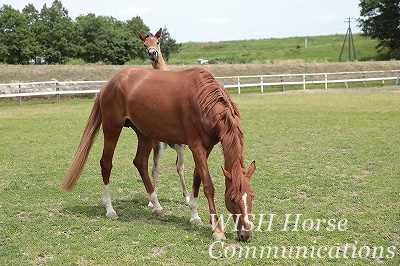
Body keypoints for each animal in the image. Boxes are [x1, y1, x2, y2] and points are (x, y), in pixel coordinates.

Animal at [62, 66, 256, 241]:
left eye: (252, 196)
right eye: (232, 199)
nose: (246, 235)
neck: (204, 100)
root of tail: (109, 83)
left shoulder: (206, 148)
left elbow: (197, 178)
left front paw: (194, 216)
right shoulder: (196, 146)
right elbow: (208, 185)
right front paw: (217, 230)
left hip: (144, 133)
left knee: (140, 162)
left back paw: (156, 206)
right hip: (112, 128)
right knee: (106, 163)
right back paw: (110, 209)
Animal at [138, 28, 190, 205]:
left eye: (158, 41)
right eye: (144, 44)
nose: (153, 53)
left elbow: (180, 168)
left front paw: (187, 197)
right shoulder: (158, 143)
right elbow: (155, 168)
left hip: (179, 146)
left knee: (180, 167)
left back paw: (187, 196)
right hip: (162, 145)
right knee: (157, 167)